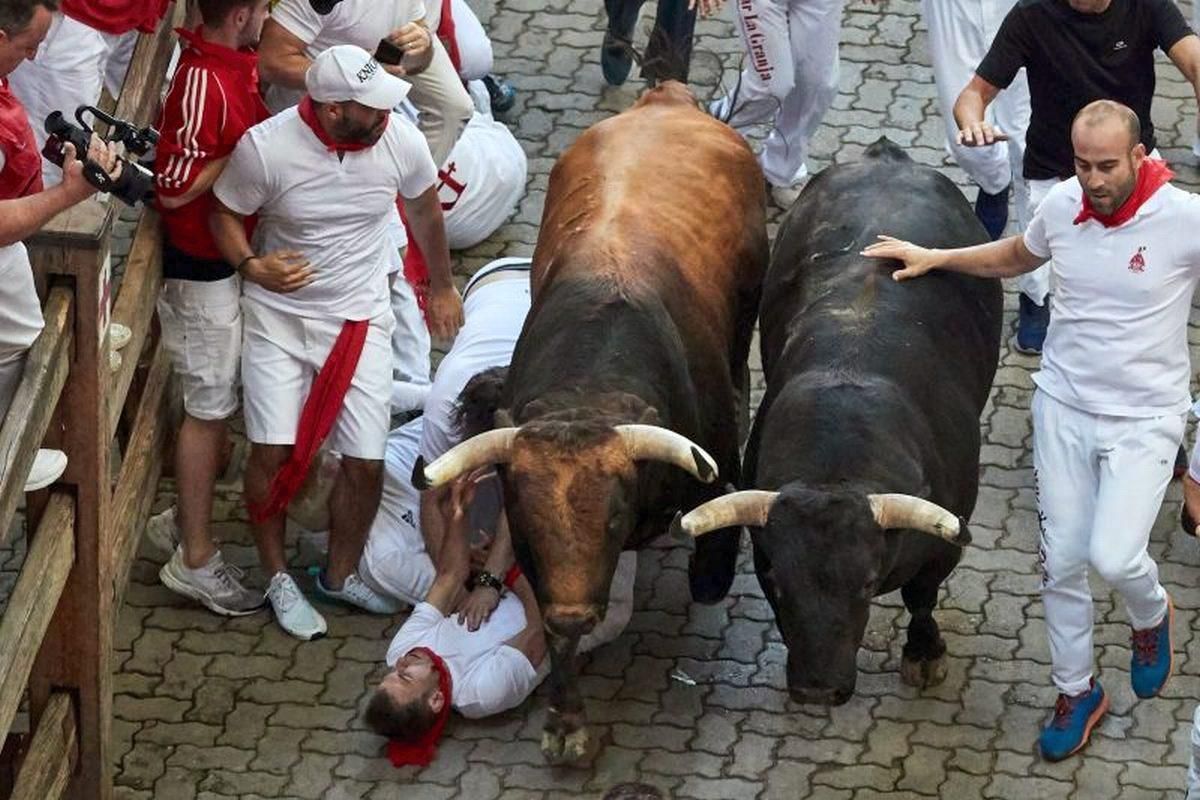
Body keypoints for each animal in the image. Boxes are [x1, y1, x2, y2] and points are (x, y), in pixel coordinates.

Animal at [412, 81, 768, 762]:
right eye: (526, 517)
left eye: (612, 516)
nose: (577, 613)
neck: (589, 389)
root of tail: (666, 102)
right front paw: (566, 720)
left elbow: (712, 559)